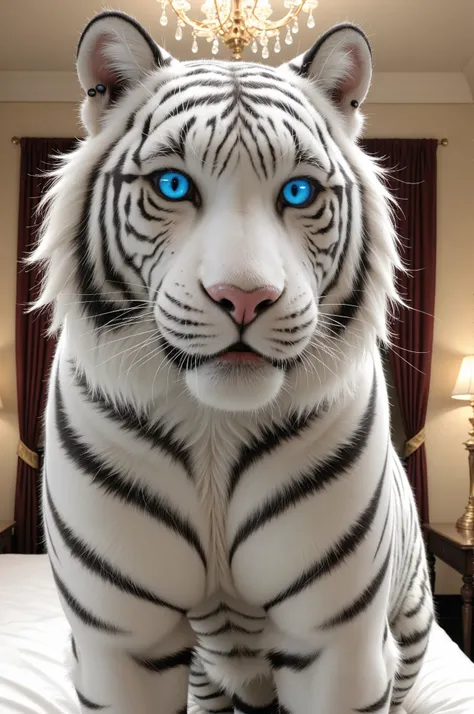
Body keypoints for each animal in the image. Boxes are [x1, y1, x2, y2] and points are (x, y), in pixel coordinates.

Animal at [31, 9, 434, 714]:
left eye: (299, 192)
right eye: (172, 185)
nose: (244, 296)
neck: (216, 427)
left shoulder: (338, 645)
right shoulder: (121, 646)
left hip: (408, 618)